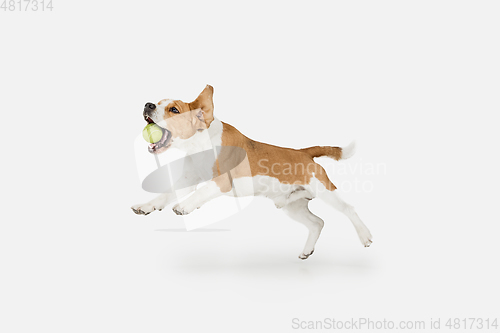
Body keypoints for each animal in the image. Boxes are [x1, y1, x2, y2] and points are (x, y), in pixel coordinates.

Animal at [131, 84, 374, 258]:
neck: (200, 142)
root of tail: (303, 152)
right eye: (158, 102)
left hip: (325, 191)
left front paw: (184, 206)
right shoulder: (187, 180)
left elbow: (201, 191)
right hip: (292, 206)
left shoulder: (222, 181)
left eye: (174, 109)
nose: (148, 105)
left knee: (349, 209)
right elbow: (167, 194)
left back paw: (365, 236)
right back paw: (307, 251)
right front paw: (147, 206)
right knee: (318, 223)